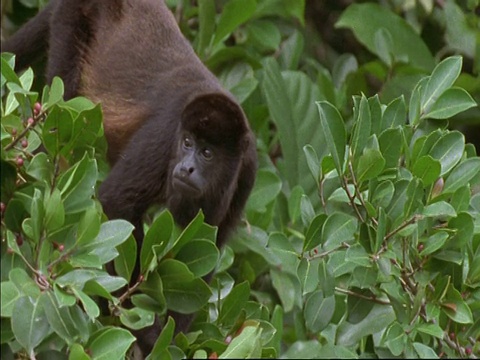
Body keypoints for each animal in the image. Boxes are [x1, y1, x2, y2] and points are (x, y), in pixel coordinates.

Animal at [2, 0, 258, 354]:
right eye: (187, 143)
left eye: (207, 153)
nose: (186, 167)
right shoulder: (164, 135)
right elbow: (117, 201)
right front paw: (141, 327)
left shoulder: (246, 170)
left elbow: (211, 241)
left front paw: (172, 339)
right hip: (72, 18)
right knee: (61, 110)